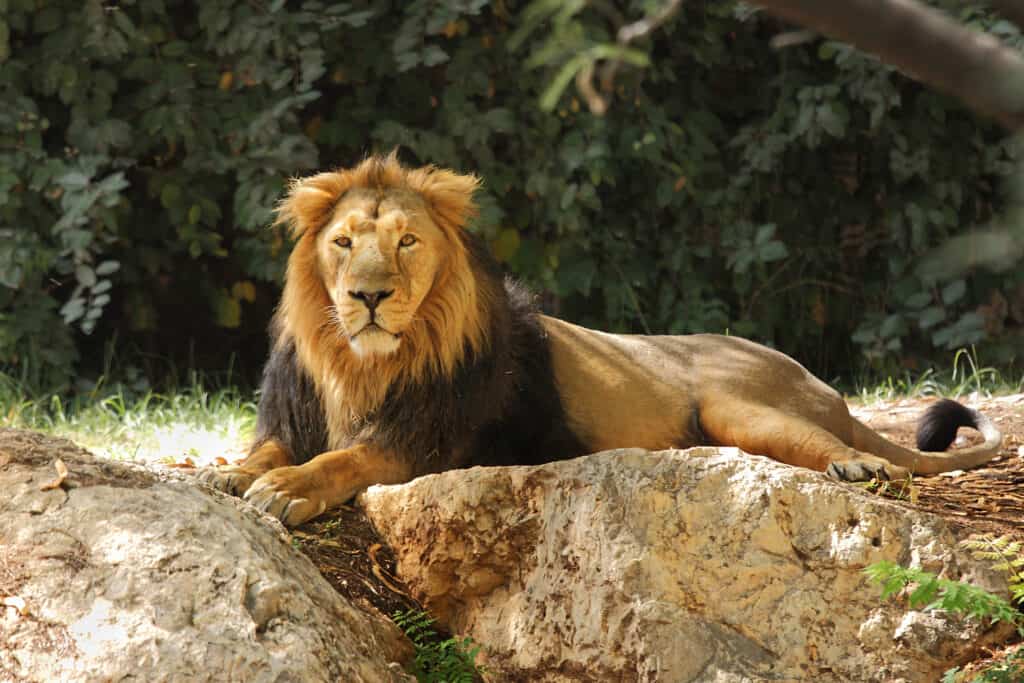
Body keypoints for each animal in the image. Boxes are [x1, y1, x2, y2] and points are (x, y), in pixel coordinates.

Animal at [198, 153, 1003, 526]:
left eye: (405, 243)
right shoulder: (291, 415)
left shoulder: (427, 444)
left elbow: (343, 458)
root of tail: (827, 389)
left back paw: (859, 466)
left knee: (849, 448)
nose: (368, 296)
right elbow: (264, 449)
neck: (358, 365)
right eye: (342, 243)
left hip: (738, 404)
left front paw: (286, 489)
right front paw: (231, 474)